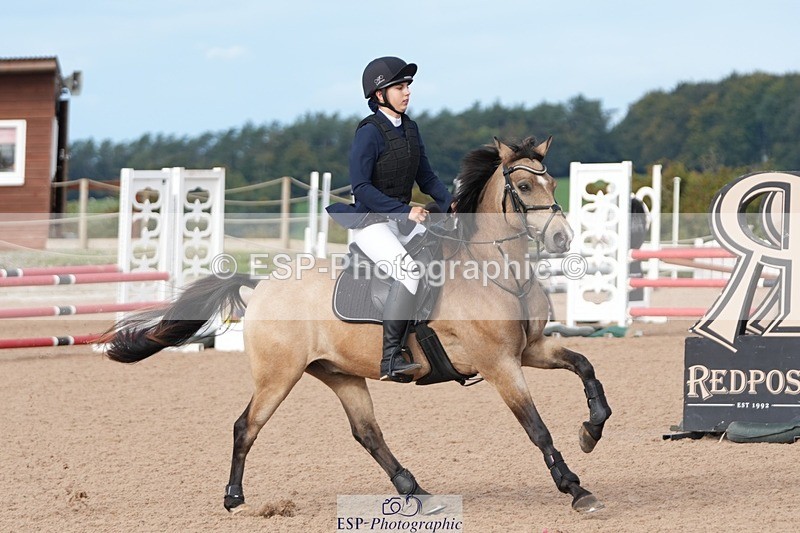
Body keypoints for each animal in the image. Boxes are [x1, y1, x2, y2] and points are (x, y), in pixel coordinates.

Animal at [102, 136, 612, 514]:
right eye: (523, 187)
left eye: (552, 181)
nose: (561, 238)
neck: (495, 270)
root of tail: (262, 286)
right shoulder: (498, 363)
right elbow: (536, 427)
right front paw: (574, 487)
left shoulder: (529, 349)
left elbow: (585, 366)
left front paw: (592, 431)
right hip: (277, 375)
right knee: (246, 426)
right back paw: (234, 498)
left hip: (340, 374)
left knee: (367, 433)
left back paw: (416, 491)